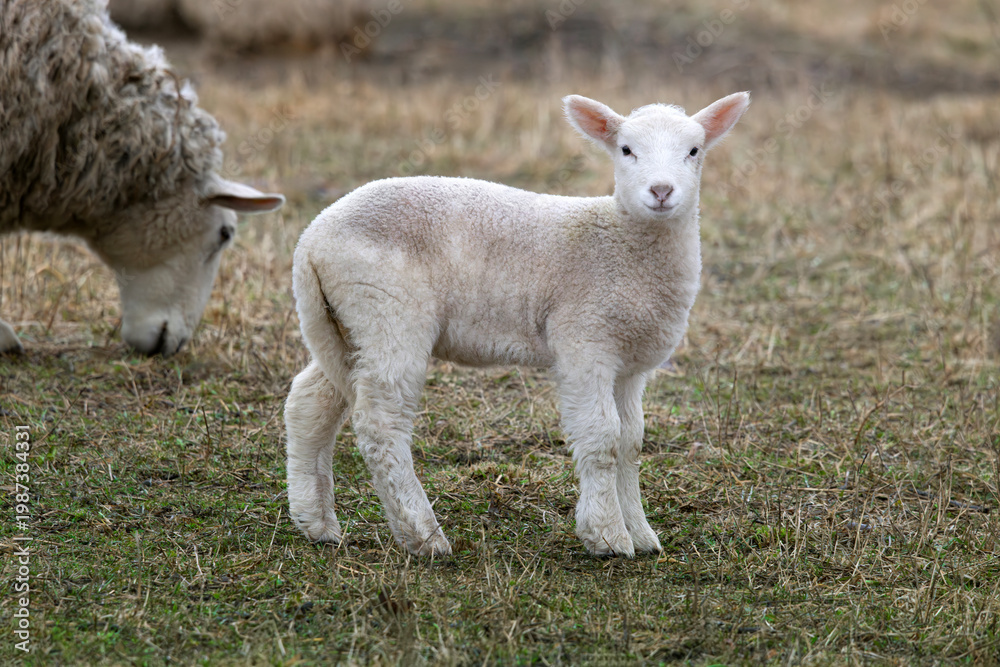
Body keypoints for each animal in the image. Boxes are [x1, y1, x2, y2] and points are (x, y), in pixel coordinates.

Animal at [284, 91, 750, 557]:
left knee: (310, 403)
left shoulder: (630, 363)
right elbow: (603, 439)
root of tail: (311, 240)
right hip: (389, 311)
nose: (661, 191)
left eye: (694, 151)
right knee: (381, 425)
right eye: (626, 149)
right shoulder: (584, 338)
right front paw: (608, 537)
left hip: (345, 323)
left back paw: (317, 522)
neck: (620, 243)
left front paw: (641, 533)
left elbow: (631, 441)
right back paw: (424, 536)